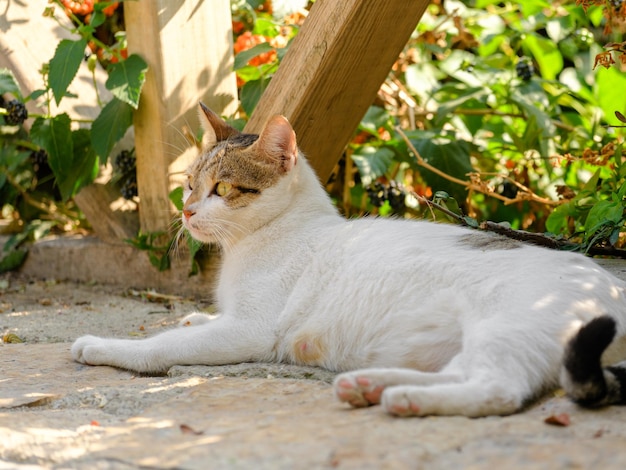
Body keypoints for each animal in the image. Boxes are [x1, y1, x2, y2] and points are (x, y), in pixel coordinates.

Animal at [70, 104, 624, 416]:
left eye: (221, 189)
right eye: (188, 184)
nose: (185, 210)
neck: (255, 243)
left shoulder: (250, 331)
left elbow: (161, 346)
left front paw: (103, 345)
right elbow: (197, 321)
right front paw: (194, 314)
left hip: (509, 327)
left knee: (498, 390)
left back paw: (404, 400)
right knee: (465, 373)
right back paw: (371, 385)